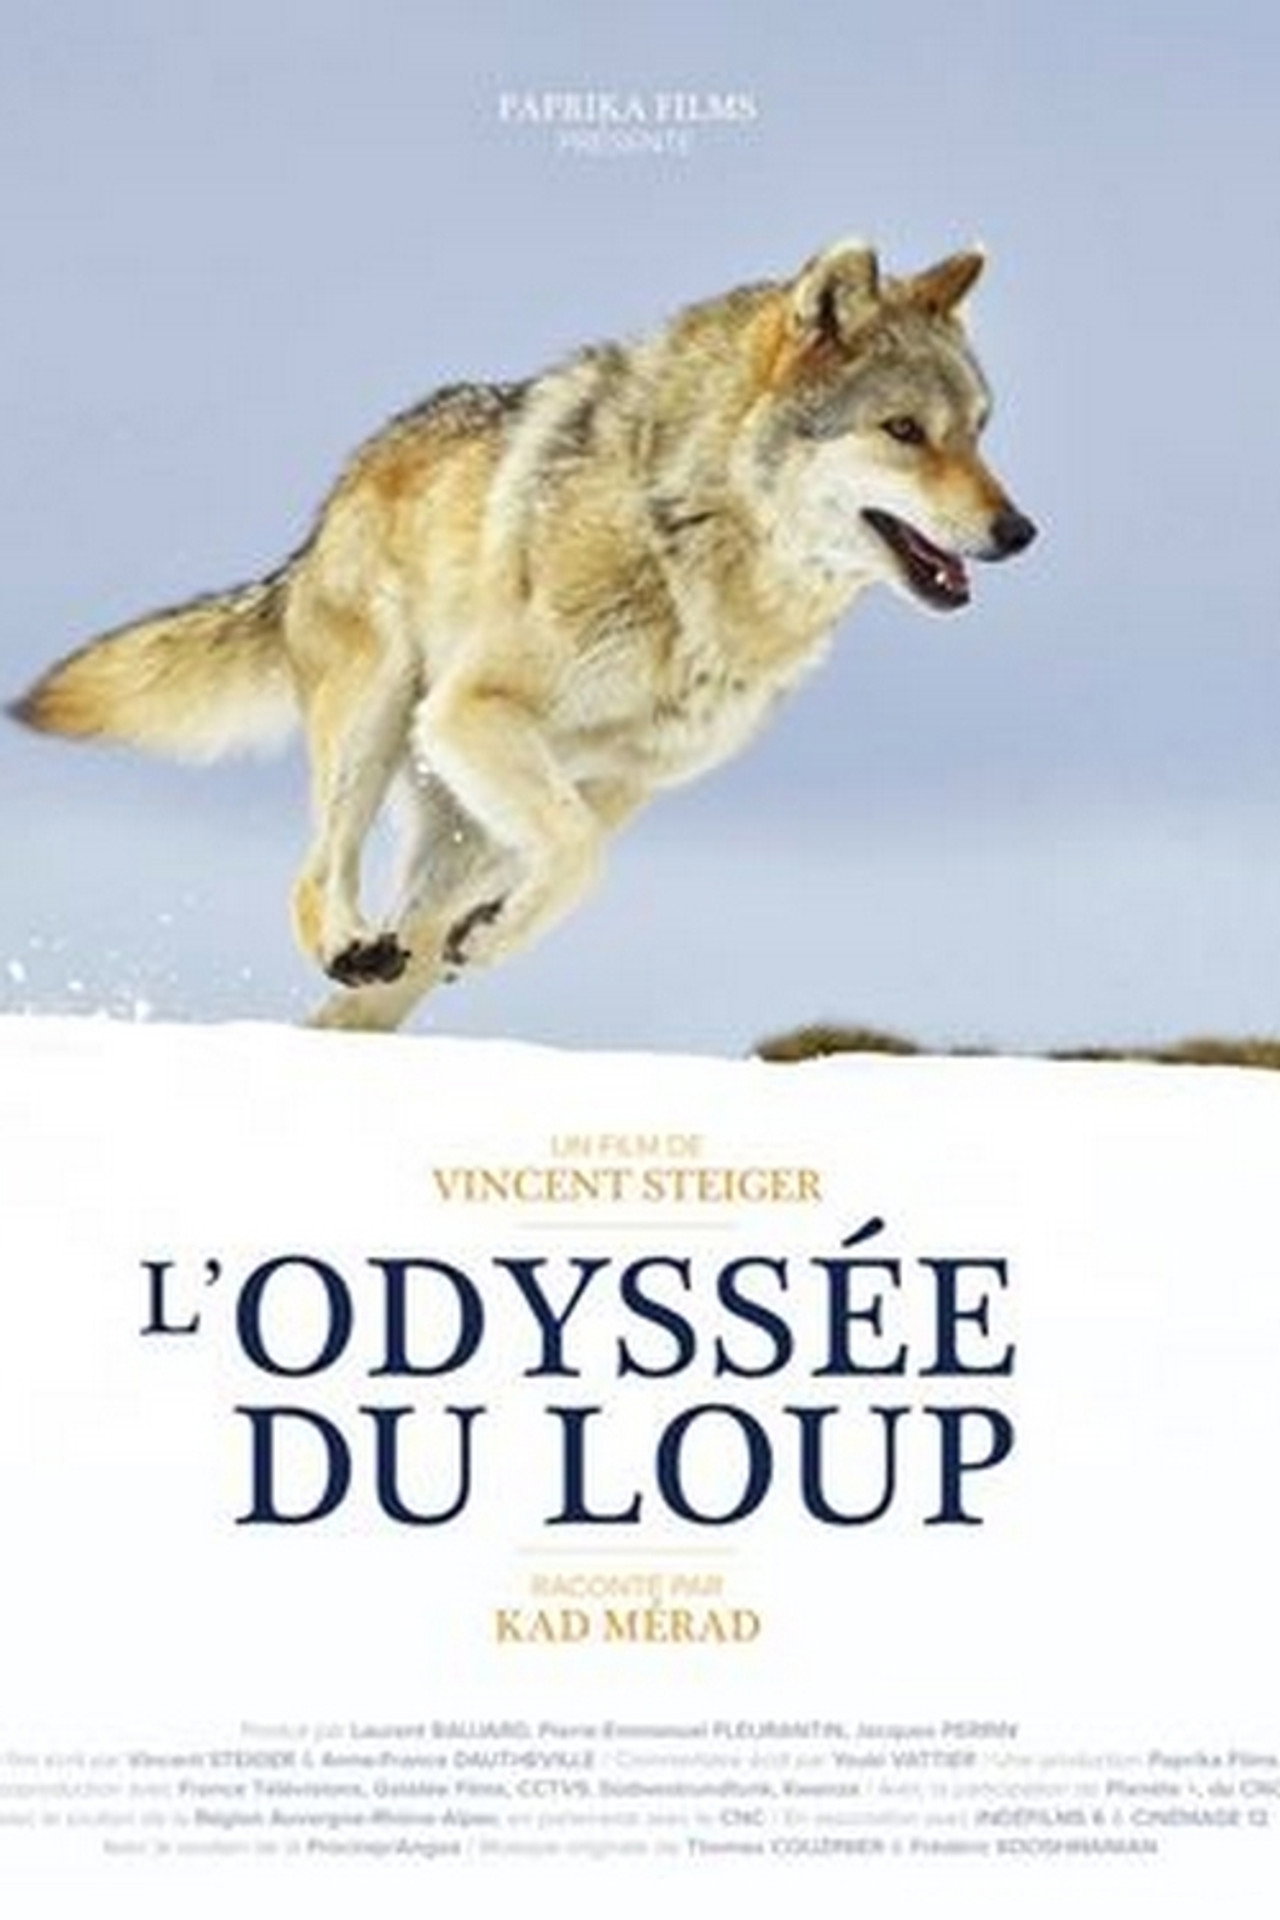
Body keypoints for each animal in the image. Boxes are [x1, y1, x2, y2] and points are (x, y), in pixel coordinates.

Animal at [11, 241, 1036, 1032]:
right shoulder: (475, 710)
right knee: (317, 880)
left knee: (391, 970)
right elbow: (577, 856)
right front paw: (495, 933)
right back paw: (349, 945)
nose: (1019, 531)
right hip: (385, 718)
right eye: (904, 430)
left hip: (461, 818)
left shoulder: (624, 781)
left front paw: (493, 935)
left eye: (980, 432)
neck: (689, 546)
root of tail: (332, 502)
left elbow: (576, 865)